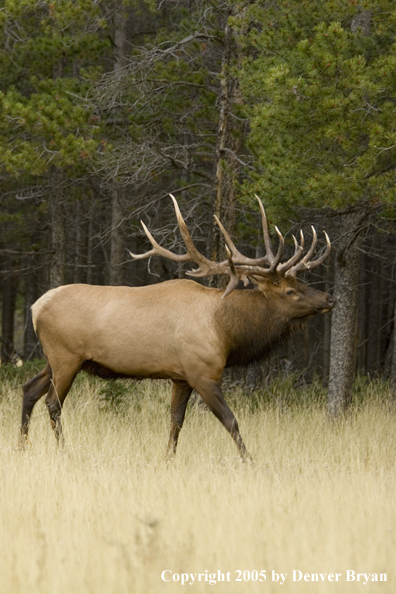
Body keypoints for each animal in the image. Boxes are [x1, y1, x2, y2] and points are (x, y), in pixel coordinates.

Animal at [22, 194, 334, 458]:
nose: (329, 298)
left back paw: (21, 446)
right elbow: (231, 421)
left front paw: (168, 460)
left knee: (29, 389)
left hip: (54, 358)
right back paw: (65, 452)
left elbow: (176, 422)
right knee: (53, 402)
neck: (226, 332)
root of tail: (36, 308)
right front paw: (250, 461)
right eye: (290, 291)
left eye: (300, 282)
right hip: (66, 356)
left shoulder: (180, 376)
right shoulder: (202, 372)